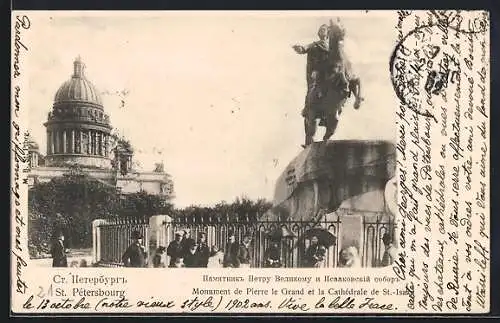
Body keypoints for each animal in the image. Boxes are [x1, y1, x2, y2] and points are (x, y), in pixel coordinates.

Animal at [300, 19, 364, 147]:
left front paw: (357, 102)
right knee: (311, 130)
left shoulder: (350, 78)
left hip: (329, 111)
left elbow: (356, 81)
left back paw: (325, 138)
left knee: (332, 121)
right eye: (335, 27)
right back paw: (311, 143)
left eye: (342, 26)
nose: (343, 34)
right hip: (312, 112)